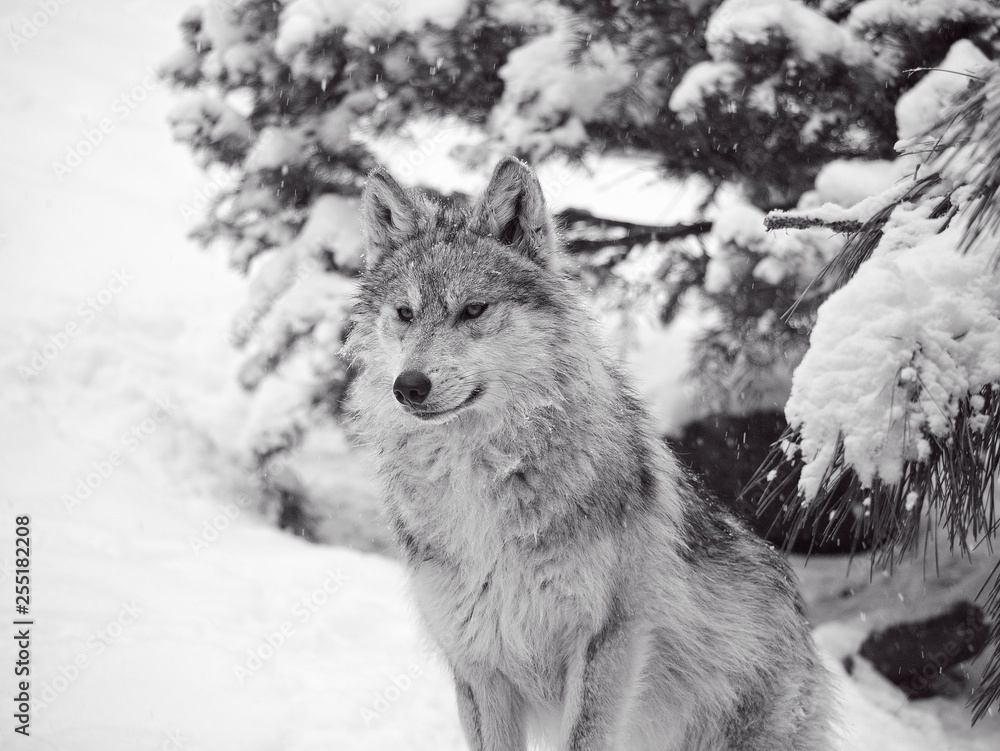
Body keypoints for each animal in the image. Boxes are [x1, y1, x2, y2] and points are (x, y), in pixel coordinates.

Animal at [344, 157, 835, 751]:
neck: (480, 481)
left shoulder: (608, 641)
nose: (409, 386)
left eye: (473, 310)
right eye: (405, 312)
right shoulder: (478, 663)